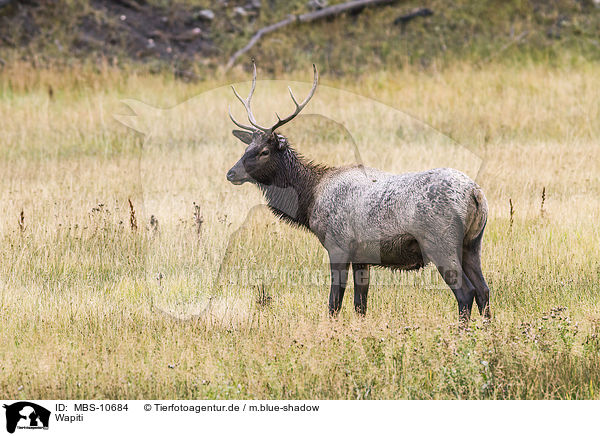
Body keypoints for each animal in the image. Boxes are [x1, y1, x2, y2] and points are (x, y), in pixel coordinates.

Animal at [227, 62, 490, 320]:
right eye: (246, 148)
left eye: (264, 151)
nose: (231, 173)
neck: (310, 199)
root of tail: (475, 194)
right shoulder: (362, 257)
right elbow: (360, 305)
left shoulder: (338, 246)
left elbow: (334, 303)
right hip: (472, 243)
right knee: (484, 290)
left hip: (440, 243)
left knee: (466, 292)